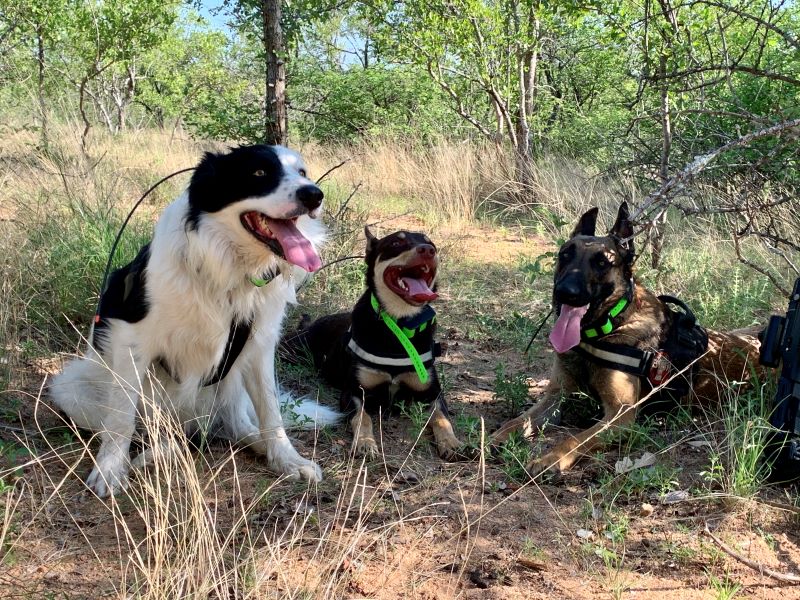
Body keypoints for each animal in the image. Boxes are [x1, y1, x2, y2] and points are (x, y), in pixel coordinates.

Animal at [50, 144, 338, 496]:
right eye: (258, 172)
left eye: (302, 173)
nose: (314, 195)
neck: (230, 270)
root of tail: (191, 423)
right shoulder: (132, 340)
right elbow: (120, 419)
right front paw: (109, 470)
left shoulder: (259, 345)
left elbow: (270, 413)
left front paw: (287, 459)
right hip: (71, 387)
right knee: (151, 431)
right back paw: (159, 453)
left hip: (231, 381)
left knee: (238, 423)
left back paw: (255, 443)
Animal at [490, 204, 760, 476]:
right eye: (565, 255)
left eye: (602, 262)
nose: (565, 293)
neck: (605, 328)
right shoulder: (555, 397)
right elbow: (516, 421)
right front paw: (492, 438)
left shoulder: (621, 415)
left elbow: (574, 439)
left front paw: (550, 458)